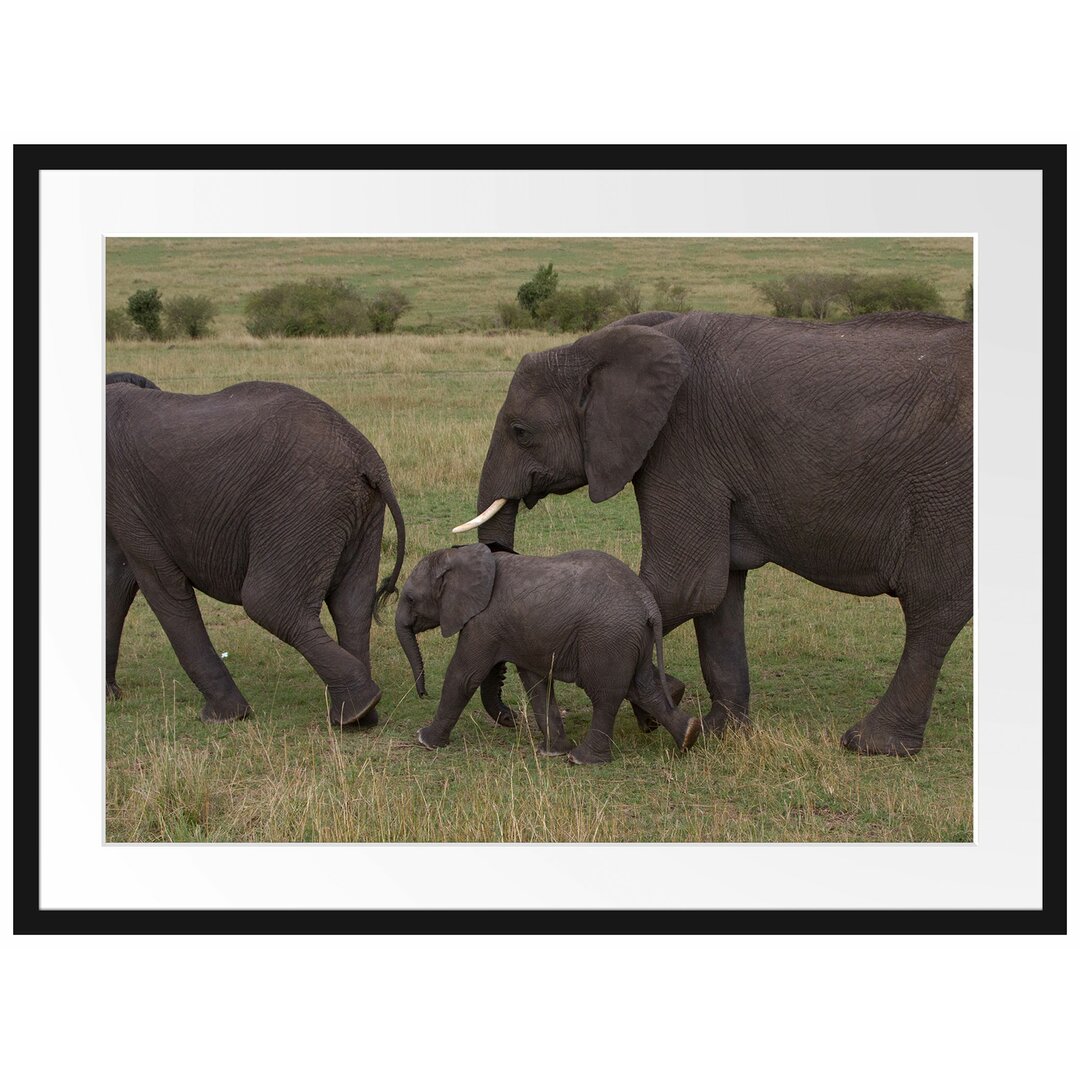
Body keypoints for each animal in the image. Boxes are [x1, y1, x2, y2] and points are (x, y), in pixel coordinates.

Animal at [106, 375, 406, 730]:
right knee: (351, 607)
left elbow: (159, 582)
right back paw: (360, 716)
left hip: (302, 506)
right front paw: (109, 696)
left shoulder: (125, 499)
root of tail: (367, 459)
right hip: (358, 514)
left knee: (269, 605)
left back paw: (356, 708)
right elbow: (116, 579)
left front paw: (225, 717)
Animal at [397, 544, 699, 764]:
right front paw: (552, 751)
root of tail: (648, 604)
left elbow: (464, 675)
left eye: (410, 598)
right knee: (643, 688)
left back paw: (583, 760)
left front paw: (425, 740)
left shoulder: (483, 623)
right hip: (632, 640)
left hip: (607, 639)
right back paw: (689, 736)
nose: (423, 694)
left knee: (605, 695)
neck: (462, 555)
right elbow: (537, 684)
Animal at [451, 308, 976, 756]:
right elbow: (716, 592)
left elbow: (683, 585)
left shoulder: (683, 442)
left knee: (932, 608)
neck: (598, 345)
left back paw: (871, 744)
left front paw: (661, 701)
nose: (512, 719)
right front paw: (719, 732)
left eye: (520, 431)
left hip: (947, 492)